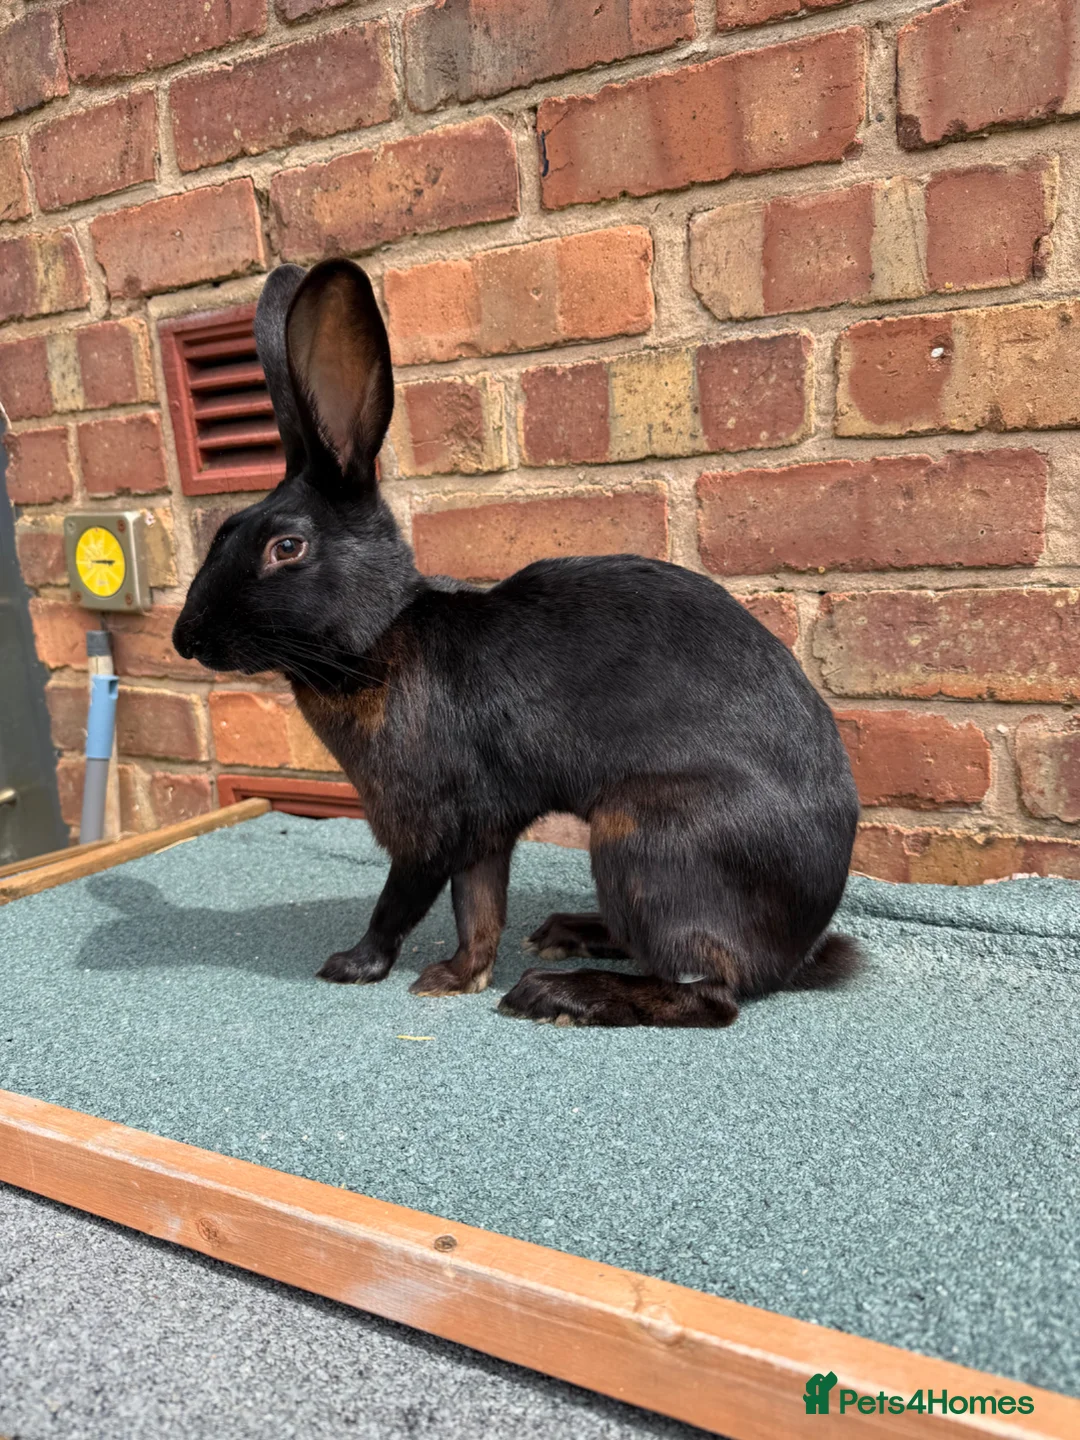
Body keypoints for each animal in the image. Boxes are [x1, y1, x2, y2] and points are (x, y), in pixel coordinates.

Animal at [173, 258, 863, 1028]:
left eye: (286, 547)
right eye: (224, 530)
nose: (184, 638)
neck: (381, 635)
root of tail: (797, 951)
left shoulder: (430, 826)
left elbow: (400, 902)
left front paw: (352, 966)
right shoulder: (484, 829)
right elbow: (479, 911)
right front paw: (456, 977)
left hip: (645, 838)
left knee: (708, 993)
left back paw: (557, 991)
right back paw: (565, 933)